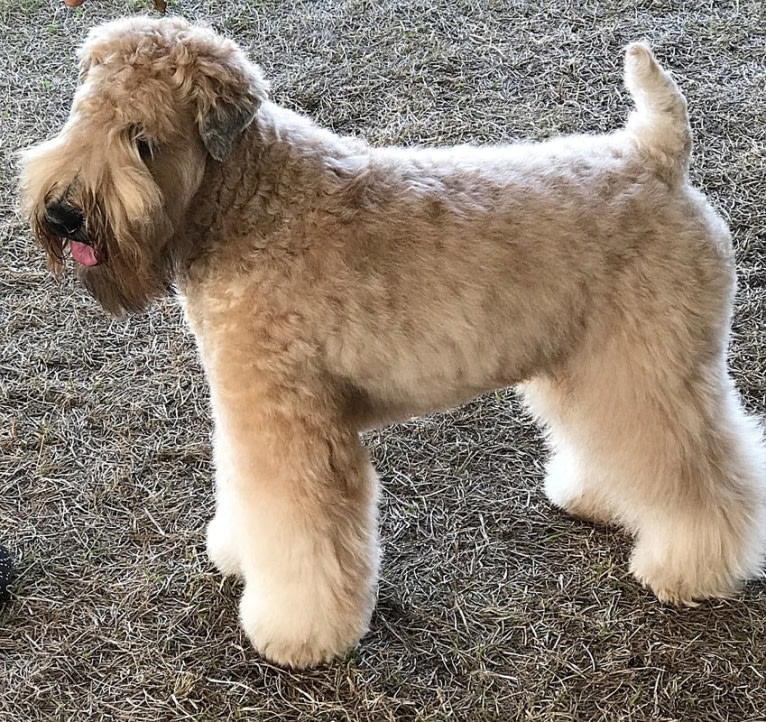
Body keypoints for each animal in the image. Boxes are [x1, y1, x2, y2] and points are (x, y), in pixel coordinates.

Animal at [19, 16, 766, 668]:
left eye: (141, 138)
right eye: (81, 113)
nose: (63, 214)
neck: (249, 203)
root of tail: (658, 158)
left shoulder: (293, 424)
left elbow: (299, 530)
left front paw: (296, 632)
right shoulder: (245, 404)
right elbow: (241, 488)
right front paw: (238, 551)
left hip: (654, 365)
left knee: (708, 470)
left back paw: (691, 565)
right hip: (594, 365)